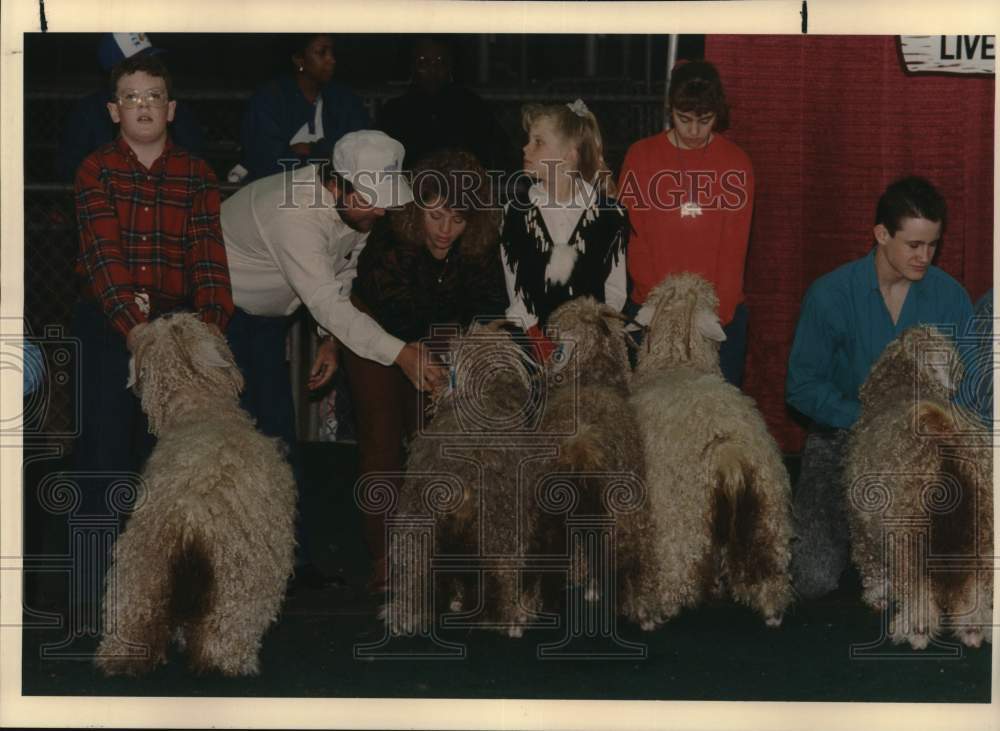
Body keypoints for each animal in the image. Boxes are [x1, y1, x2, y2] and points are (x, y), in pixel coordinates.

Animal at [95, 312, 294, 676]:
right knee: (229, 623)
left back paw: (120, 658)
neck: (201, 408)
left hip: (144, 564)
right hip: (240, 574)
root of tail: (190, 517)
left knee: (133, 613)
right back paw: (228, 661)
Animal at [384, 324, 540, 636]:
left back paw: (404, 615)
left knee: (413, 573)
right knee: (504, 574)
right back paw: (511, 618)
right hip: (499, 530)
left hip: (415, 527)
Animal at [636, 274, 792, 628]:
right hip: (768, 515)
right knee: (770, 576)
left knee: (675, 575)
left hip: (679, 520)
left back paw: (653, 613)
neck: (675, 362)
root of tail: (727, 450)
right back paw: (772, 613)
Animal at [844, 326, 992, 652]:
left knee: (916, 588)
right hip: (984, 534)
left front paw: (877, 596)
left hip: (909, 536)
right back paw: (973, 629)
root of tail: (944, 434)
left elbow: (871, 563)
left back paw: (915, 630)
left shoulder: (863, 526)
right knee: (977, 588)